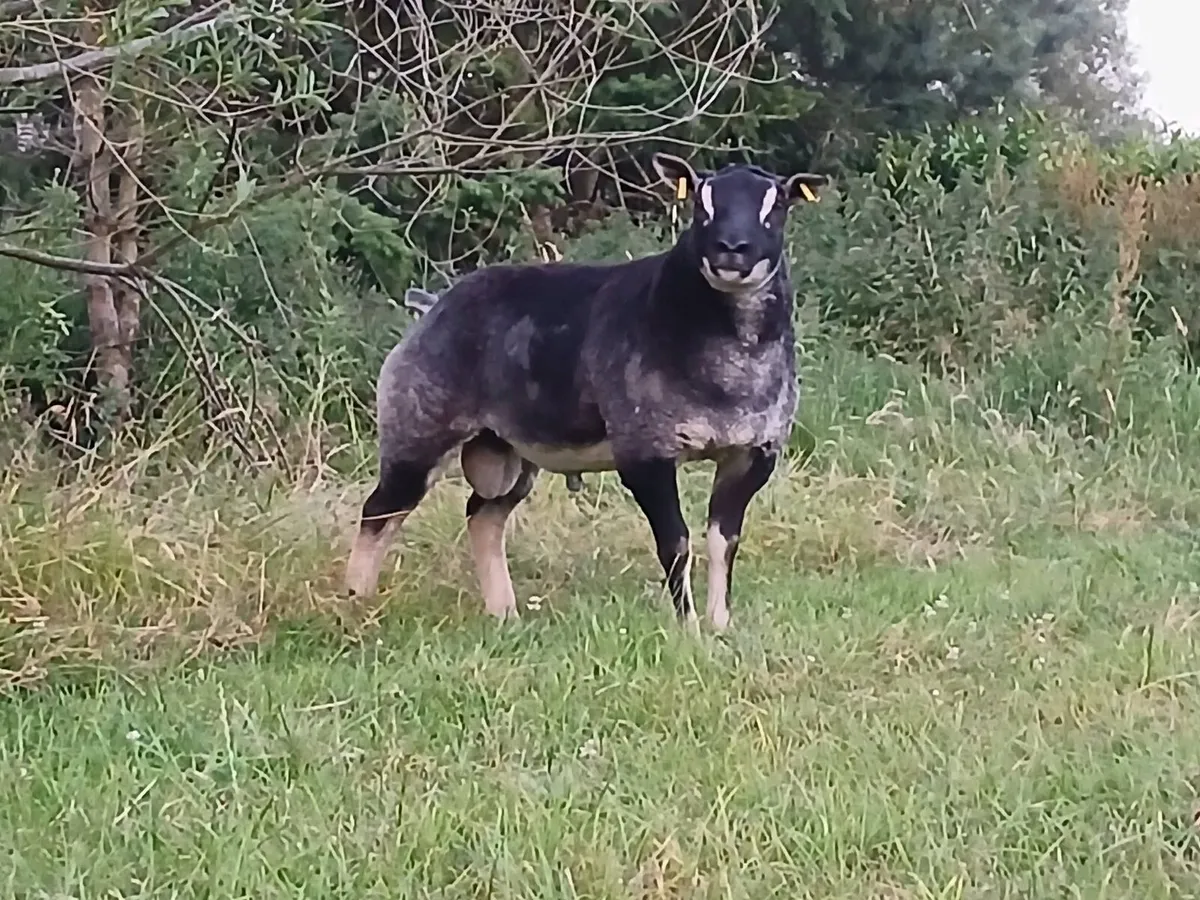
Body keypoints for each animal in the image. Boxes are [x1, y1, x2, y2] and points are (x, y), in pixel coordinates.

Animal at [345, 153, 828, 631]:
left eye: (776, 208)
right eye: (701, 206)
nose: (731, 247)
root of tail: (433, 306)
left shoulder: (754, 453)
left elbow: (723, 542)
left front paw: (720, 624)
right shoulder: (644, 453)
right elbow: (676, 543)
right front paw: (689, 629)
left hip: (508, 450)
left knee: (482, 515)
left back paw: (505, 613)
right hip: (418, 430)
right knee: (380, 511)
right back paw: (355, 605)